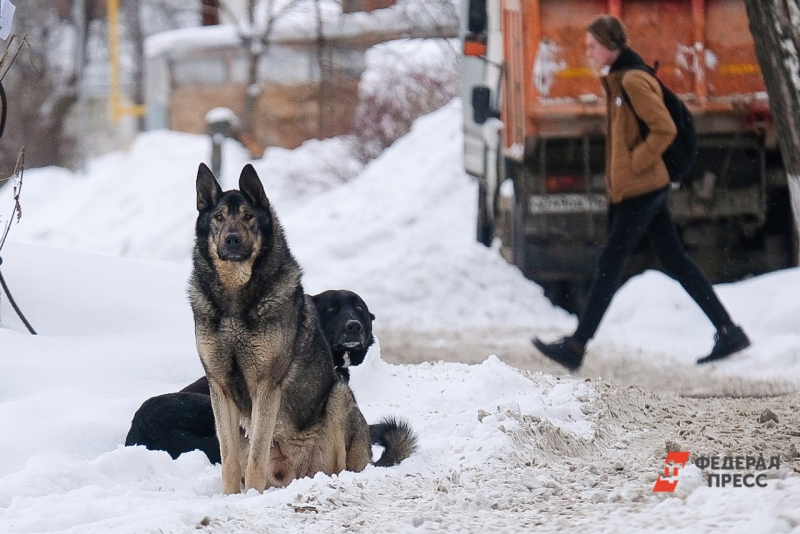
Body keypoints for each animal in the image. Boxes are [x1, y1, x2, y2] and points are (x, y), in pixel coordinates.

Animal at [188, 163, 412, 494]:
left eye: (248, 216)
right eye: (218, 217)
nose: (231, 239)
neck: (235, 297)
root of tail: (295, 474)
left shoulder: (266, 386)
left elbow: (255, 460)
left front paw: (249, 496)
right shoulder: (220, 388)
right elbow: (229, 460)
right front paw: (230, 496)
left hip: (338, 397)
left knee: (339, 466)